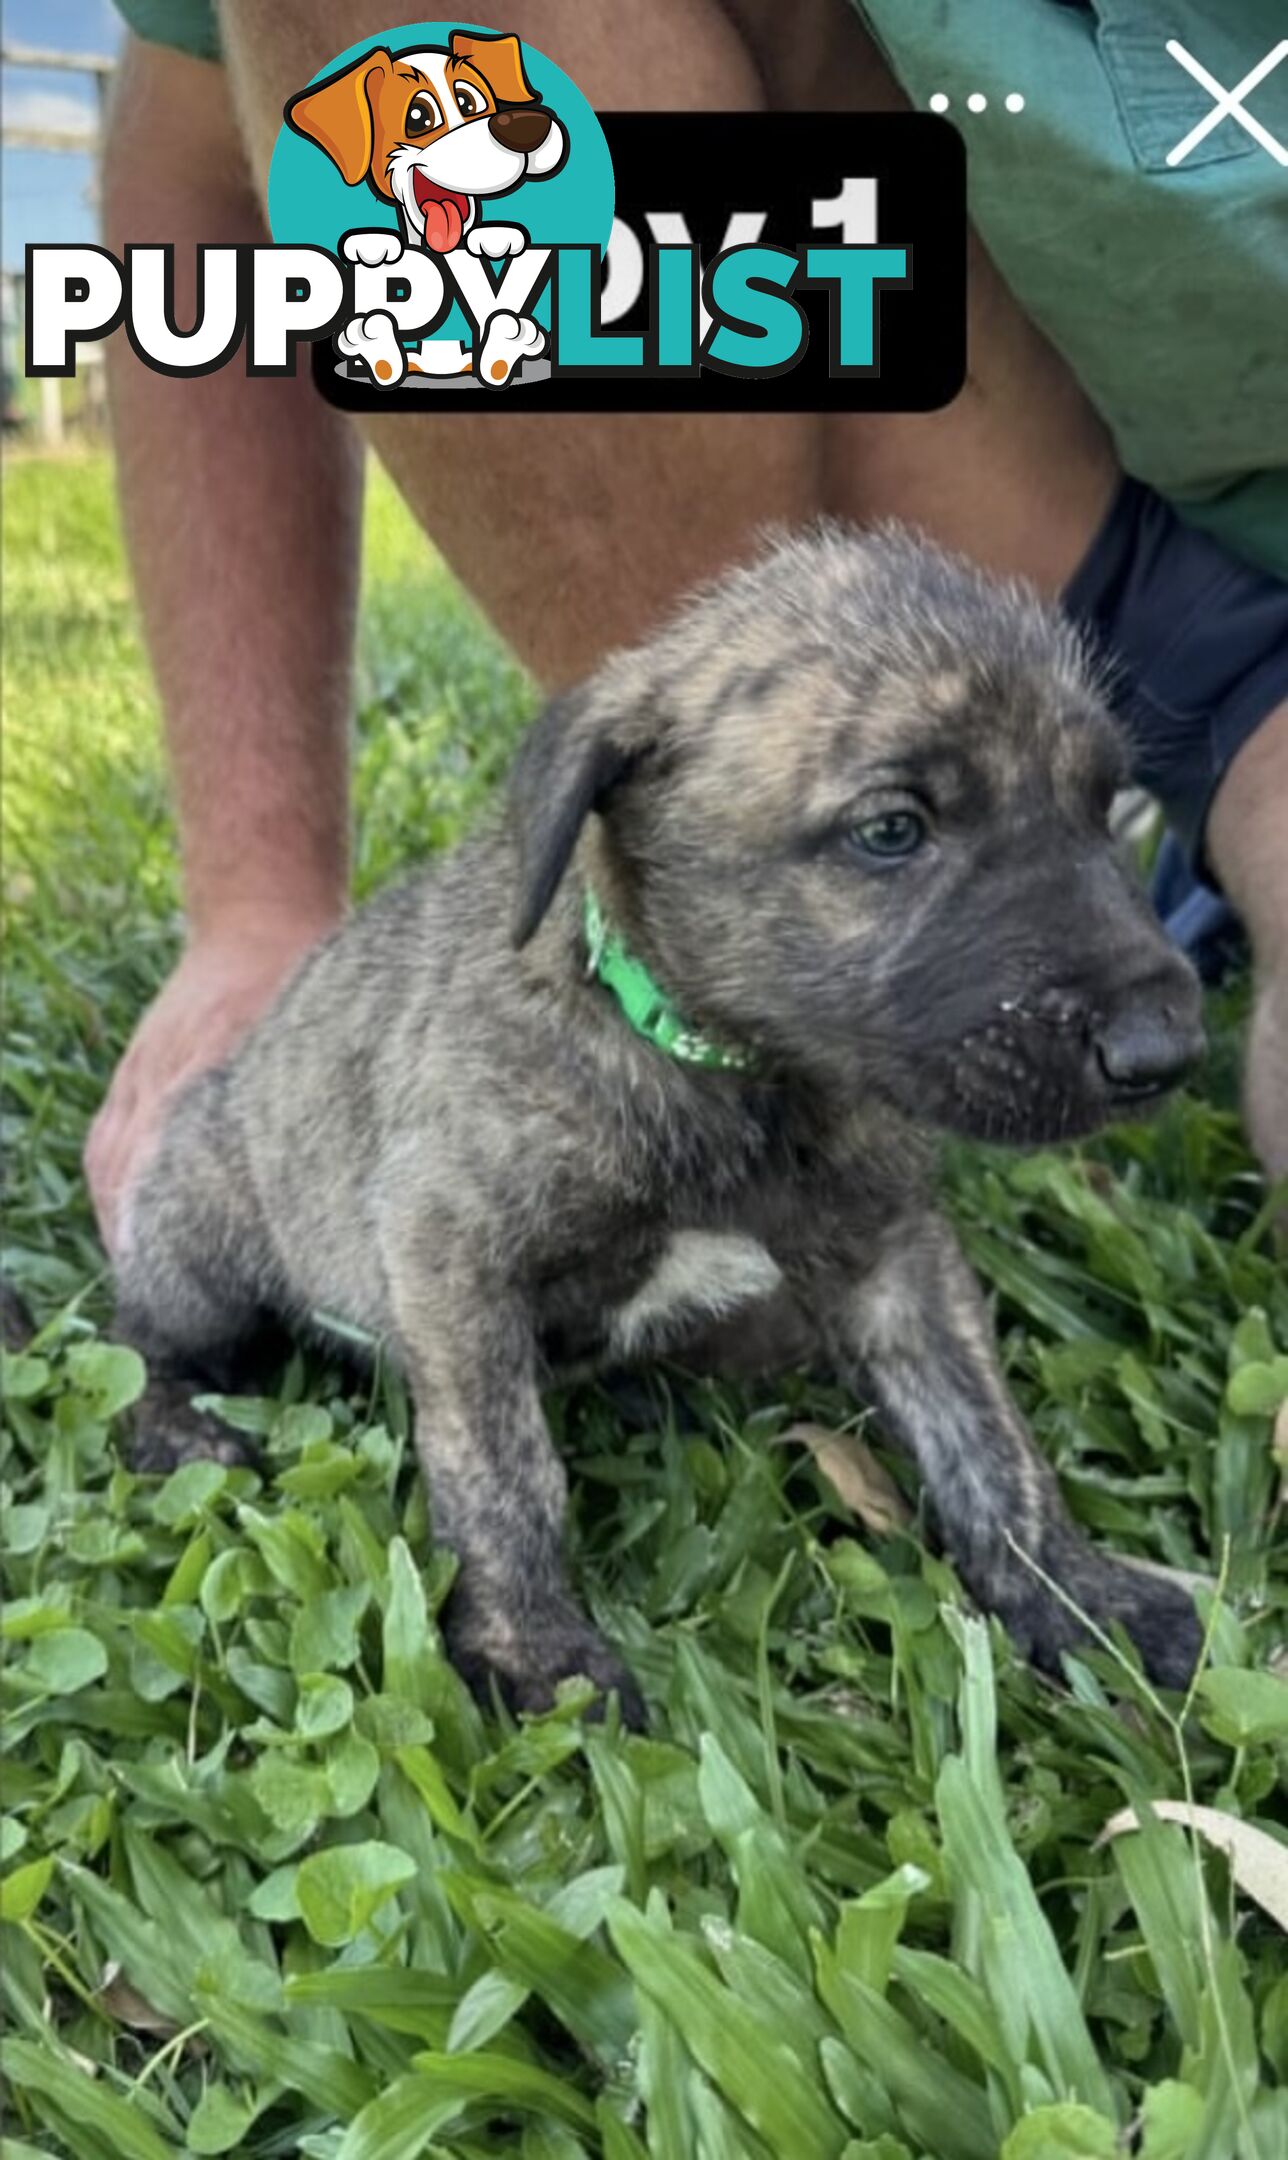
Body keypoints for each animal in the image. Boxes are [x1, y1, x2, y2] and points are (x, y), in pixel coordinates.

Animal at [113, 527, 1210, 1719]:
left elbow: (985, 1432)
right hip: (204, 1238)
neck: (731, 1078)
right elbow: (502, 1470)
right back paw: (176, 1424)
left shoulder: (894, 1257)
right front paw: (535, 1651)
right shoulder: (449, 1253)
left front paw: (1077, 1593)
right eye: (891, 830)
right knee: (132, 1343)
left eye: (1103, 804)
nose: (1163, 1048)